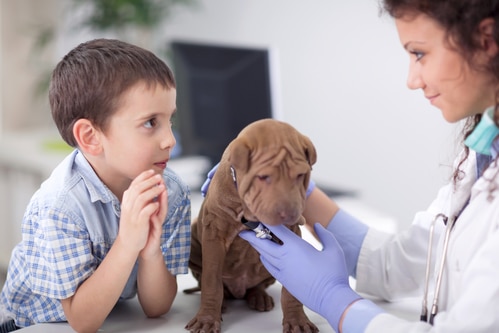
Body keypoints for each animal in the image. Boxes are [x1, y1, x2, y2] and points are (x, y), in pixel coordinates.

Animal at [185, 118, 320, 330]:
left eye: (300, 175)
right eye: (263, 177)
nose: (288, 214)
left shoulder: (291, 235)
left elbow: (291, 289)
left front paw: (297, 320)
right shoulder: (215, 233)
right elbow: (211, 281)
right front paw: (206, 318)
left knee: (256, 286)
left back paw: (259, 297)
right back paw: (223, 304)